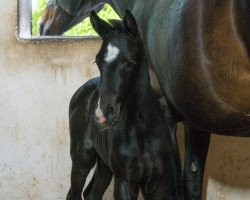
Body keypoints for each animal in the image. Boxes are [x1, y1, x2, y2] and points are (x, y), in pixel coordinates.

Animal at [66, 10, 180, 200]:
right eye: (98, 61)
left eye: (130, 63)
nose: (103, 113)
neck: (143, 130)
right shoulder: (125, 181)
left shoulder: (157, 182)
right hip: (82, 158)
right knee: (74, 193)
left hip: (104, 165)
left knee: (92, 193)